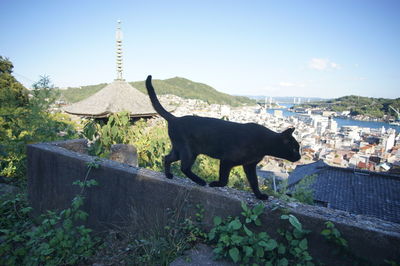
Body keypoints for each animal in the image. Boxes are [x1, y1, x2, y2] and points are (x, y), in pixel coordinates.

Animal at [146, 75, 300, 200]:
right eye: (294, 149)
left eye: (298, 149)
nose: (299, 157)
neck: (264, 144)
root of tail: (175, 118)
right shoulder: (227, 161)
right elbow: (225, 180)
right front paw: (215, 184)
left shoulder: (249, 166)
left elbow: (254, 183)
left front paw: (260, 196)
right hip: (188, 152)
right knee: (184, 167)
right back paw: (201, 181)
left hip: (180, 150)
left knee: (167, 158)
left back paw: (169, 175)